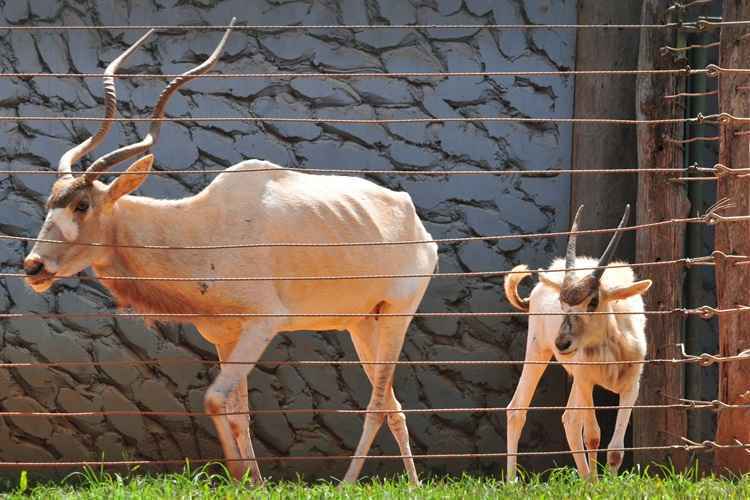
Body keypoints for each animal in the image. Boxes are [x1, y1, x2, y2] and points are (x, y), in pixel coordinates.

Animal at [23, 20, 438, 484]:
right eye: (50, 203)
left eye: (82, 205)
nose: (33, 266)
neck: (200, 227)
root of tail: (412, 218)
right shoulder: (227, 335)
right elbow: (239, 411)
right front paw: (253, 482)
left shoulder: (262, 323)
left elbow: (214, 400)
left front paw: (243, 479)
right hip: (364, 324)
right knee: (392, 405)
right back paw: (410, 485)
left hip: (397, 316)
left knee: (377, 403)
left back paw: (350, 484)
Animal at [506, 206, 652, 480]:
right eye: (563, 304)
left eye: (593, 301)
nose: (562, 343)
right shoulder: (586, 381)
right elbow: (593, 436)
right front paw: (596, 483)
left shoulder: (631, 387)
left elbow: (616, 449)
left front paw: (606, 483)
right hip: (538, 352)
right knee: (517, 409)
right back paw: (512, 482)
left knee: (570, 420)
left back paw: (584, 478)